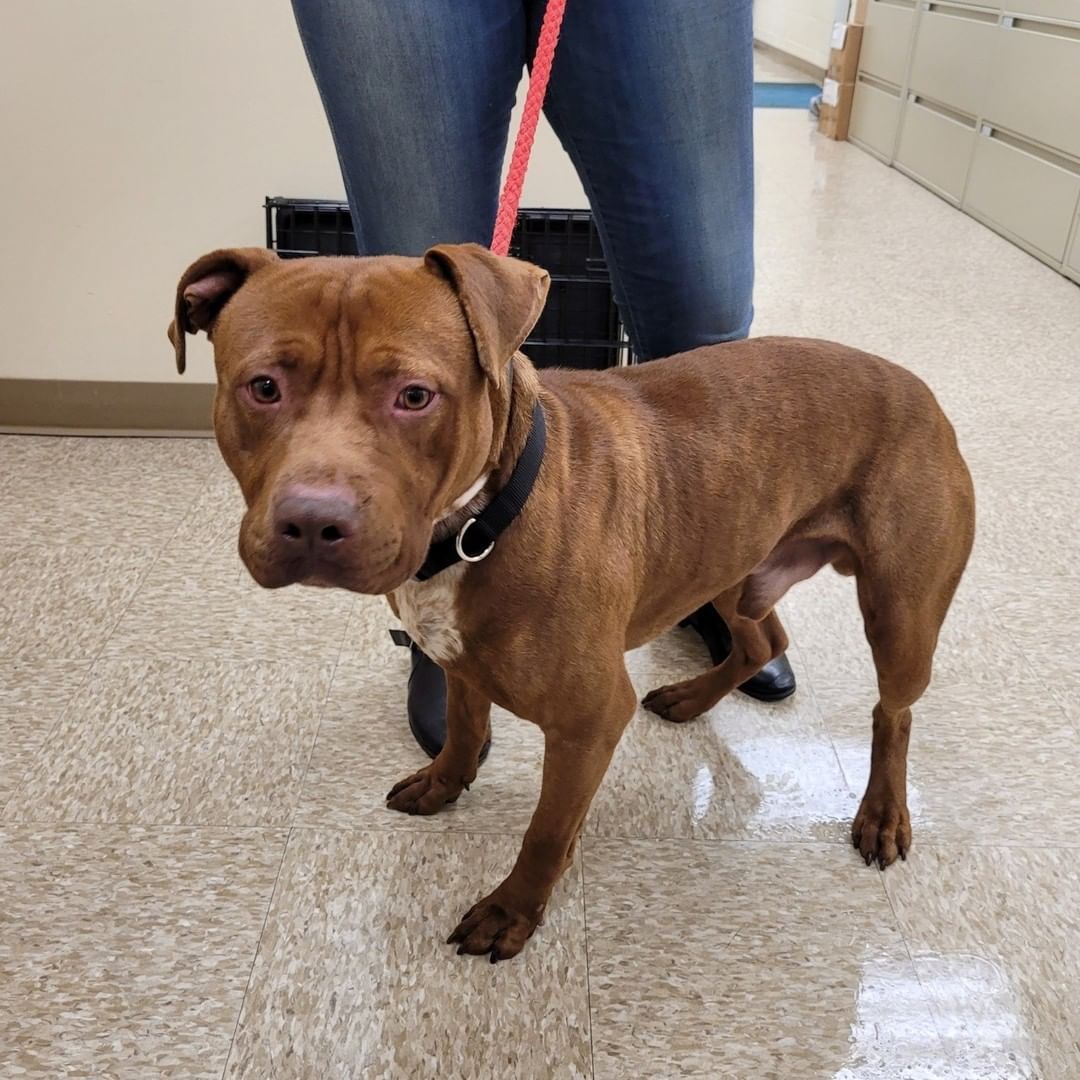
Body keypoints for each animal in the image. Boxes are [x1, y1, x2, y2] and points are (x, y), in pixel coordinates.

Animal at [170, 243, 980, 963]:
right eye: (263, 387)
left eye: (414, 396)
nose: (313, 521)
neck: (479, 523)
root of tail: (919, 387)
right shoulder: (459, 664)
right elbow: (463, 733)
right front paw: (443, 784)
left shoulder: (588, 722)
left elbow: (546, 830)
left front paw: (512, 911)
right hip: (727, 554)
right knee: (763, 641)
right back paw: (690, 698)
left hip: (899, 613)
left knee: (893, 712)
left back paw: (882, 813)